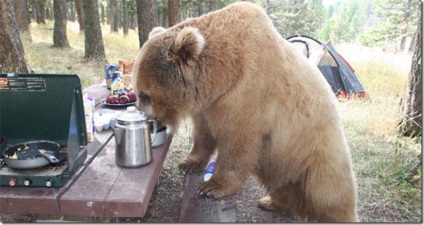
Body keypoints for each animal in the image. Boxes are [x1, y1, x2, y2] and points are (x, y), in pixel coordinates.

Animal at [132, 1, 358, 223]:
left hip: (316, 147)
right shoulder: (209, 104)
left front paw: (212, 186)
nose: (150, 122)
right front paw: (189, 162)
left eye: (145, 95)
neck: (223, 75)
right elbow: (203, 133)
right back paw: (271, 201)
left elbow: (237, 140)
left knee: (328, 192)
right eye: (136, 91)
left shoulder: (249, 92)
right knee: (284, 184)